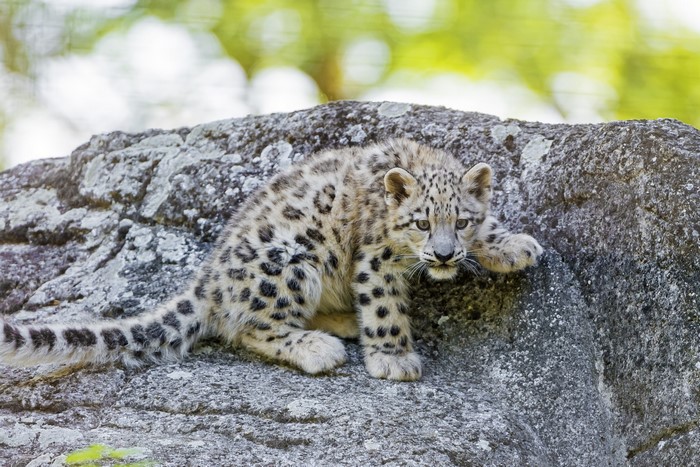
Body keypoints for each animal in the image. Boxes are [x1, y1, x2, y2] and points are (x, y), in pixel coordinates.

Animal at [0, 139, 543, 381]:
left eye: (462, 221)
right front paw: (394, 358)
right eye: (421, 223)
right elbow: (386, 306)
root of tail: (208, 280)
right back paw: (320, 348)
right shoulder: (376, 258)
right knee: (250, 326)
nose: (445, 254)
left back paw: (342, 321)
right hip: (289, 261)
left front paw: (515, 245)